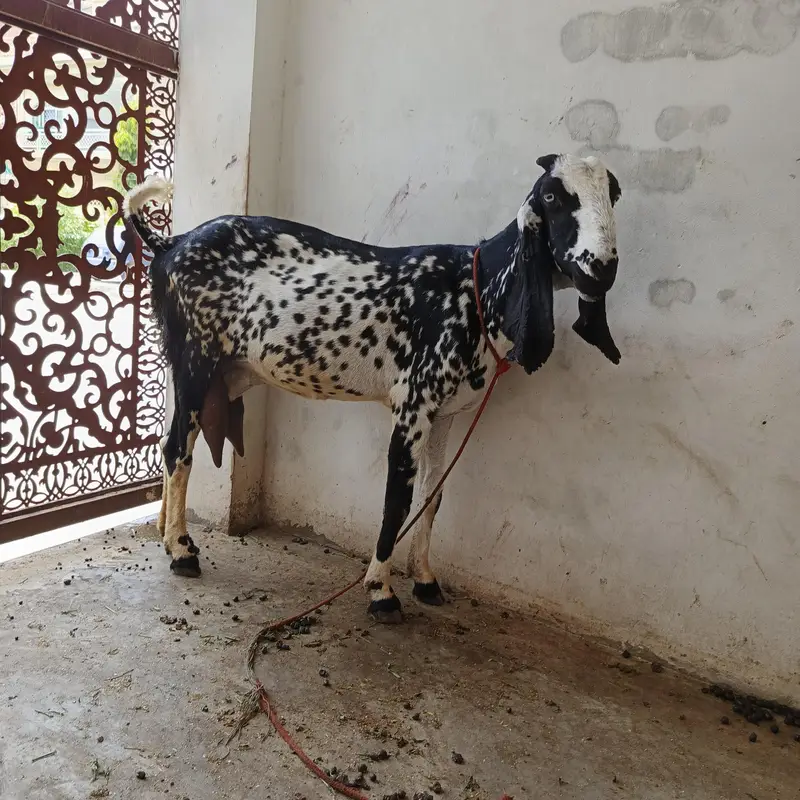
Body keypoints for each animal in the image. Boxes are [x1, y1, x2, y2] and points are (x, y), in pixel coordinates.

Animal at [124, 154, 622, 623]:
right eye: (553, 196)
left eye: (613, 193)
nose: (601, 269)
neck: (474, 289)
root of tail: (170, 243)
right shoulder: (413, 404)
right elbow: (396, 500)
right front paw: (381, 590)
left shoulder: (445, 414)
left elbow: (431, 496)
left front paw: (425, 580)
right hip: (196, 358)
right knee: (177, 450)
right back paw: (182, 551)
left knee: (170, 444)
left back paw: (169, 536)